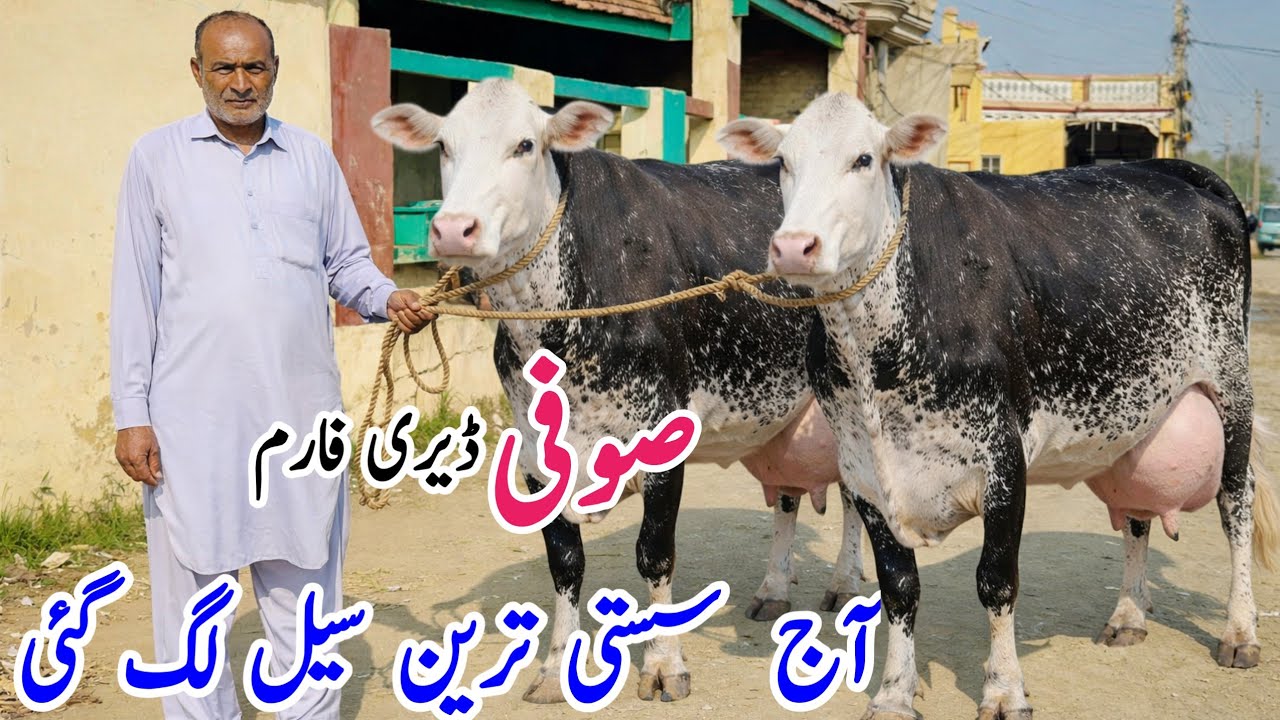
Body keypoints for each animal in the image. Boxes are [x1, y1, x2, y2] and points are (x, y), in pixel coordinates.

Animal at [369, 78, 865, 704]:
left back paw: (846, 583)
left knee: (853, 497)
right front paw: (555, 668)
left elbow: (654, 555)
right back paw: (774, 587)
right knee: (788, 497)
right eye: (443, 146)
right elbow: (564, 563)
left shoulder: (662, 442)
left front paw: (664, 666)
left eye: (525, 145)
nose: (454, 228)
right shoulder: (536, 456)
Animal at [717, 91, 1280, 719]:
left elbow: (996, 580)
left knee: (1235, 503)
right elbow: (898, 588)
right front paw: (894, 692)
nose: (794, 246)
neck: (876, 356)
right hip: (1142, 410)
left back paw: (1240, 631)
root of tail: (1183, 173)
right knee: (1138, 512)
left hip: (1231, 384)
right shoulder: (863, 471)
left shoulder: (1004, 460)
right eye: (783, 163)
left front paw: (1005, 689)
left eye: (863, 159)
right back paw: (1129, 614)